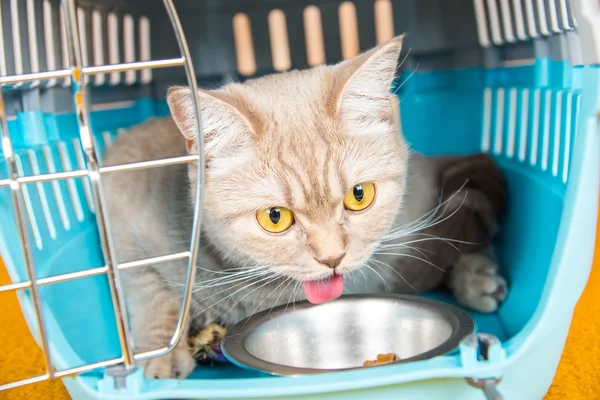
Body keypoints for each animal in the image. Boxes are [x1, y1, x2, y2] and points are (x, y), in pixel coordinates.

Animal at [102, 33, 506, 378]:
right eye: (274, 218)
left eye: (359, 195)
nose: (332, 258)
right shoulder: (121, 208)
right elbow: (151, 289)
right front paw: (163, 353)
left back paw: (475, 274)